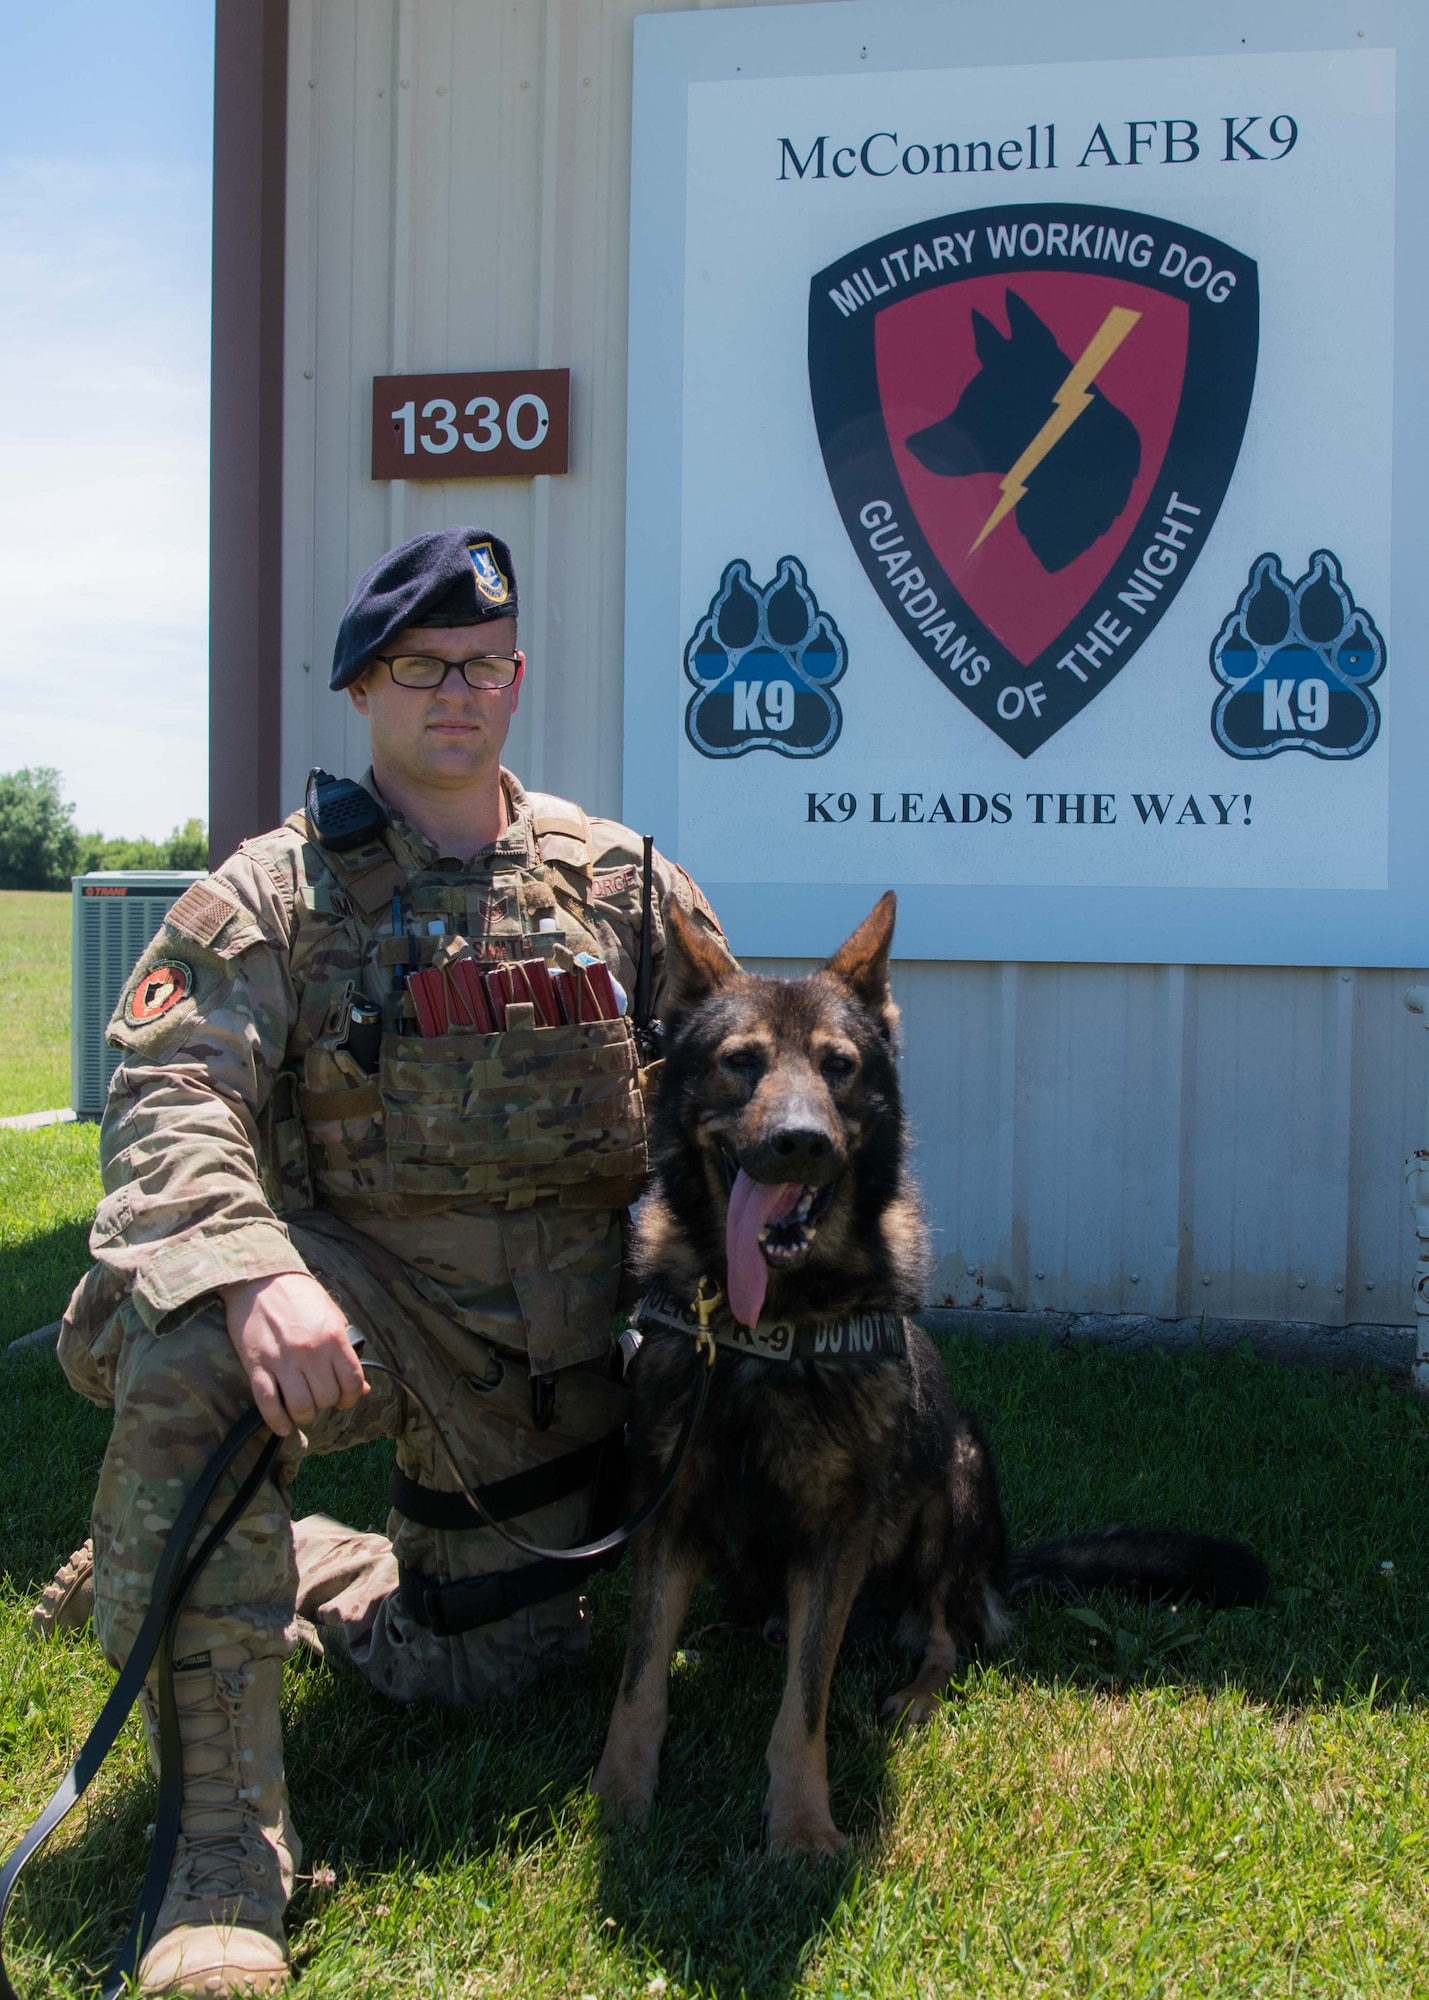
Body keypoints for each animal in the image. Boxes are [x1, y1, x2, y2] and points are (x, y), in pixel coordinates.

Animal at [596, 900, 1264, 1848]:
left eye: (838, 1067)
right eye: (741, 1062)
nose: (799, 1144)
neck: (766, 1328)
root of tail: (1001, 1564)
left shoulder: (835, 1537)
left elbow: (802, 1707)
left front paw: (800, 1827)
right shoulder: (668, 1512)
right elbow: (638, 1681)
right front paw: (619, 1798)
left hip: (954, 1481)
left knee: (950, 1633)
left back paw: (915, 1690)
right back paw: (729, 1631)